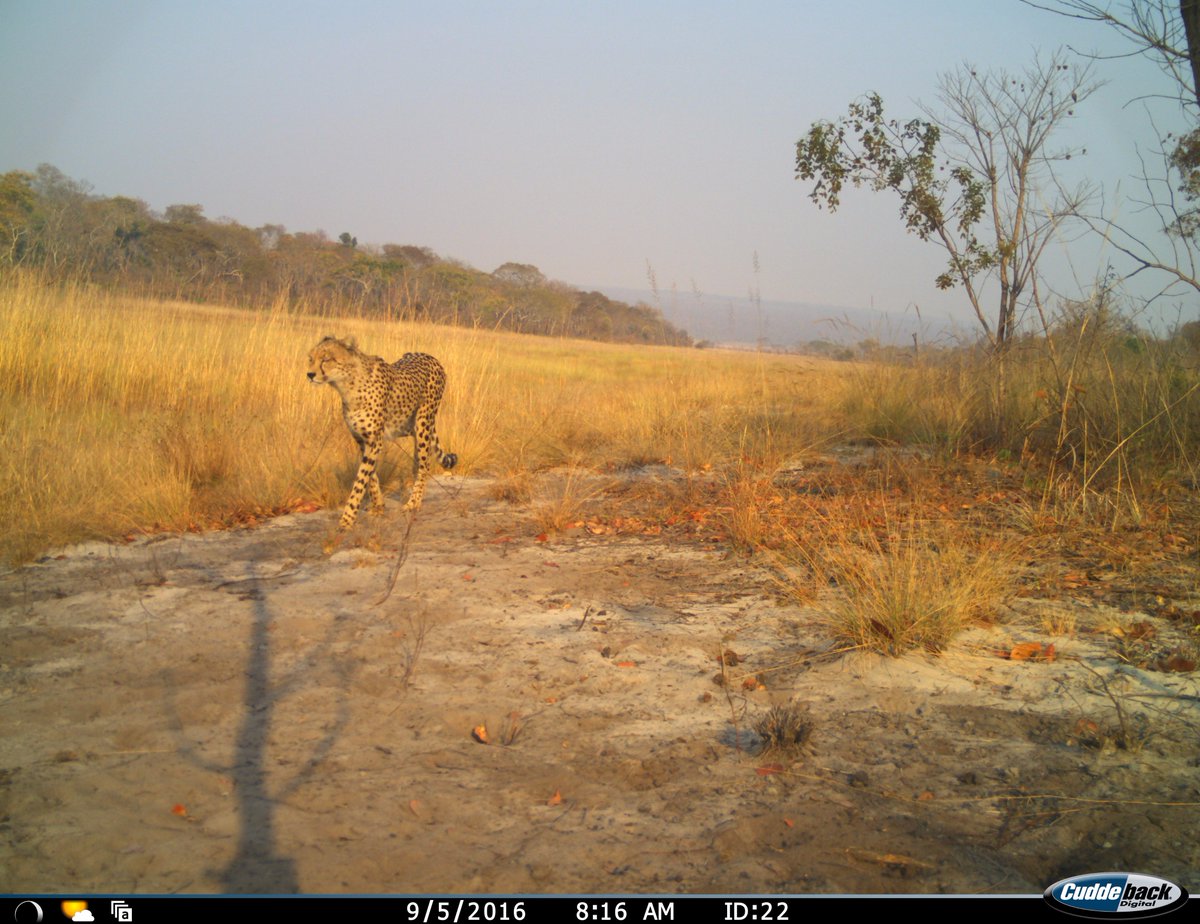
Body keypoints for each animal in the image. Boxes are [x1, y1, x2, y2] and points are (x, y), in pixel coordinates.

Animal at [307, 336, 457, 530]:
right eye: (311, 358)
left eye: (326, 359)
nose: (310, 374)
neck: (348, 384)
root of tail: (430, 356)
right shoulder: (362, 440)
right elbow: (370, 476)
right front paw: (378, 506)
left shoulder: (374, 441)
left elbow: (361, 480)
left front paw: (347, 519)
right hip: (410, 427)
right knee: (418, 461)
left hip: (423, 422)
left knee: (425, 464)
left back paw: (413, 502)